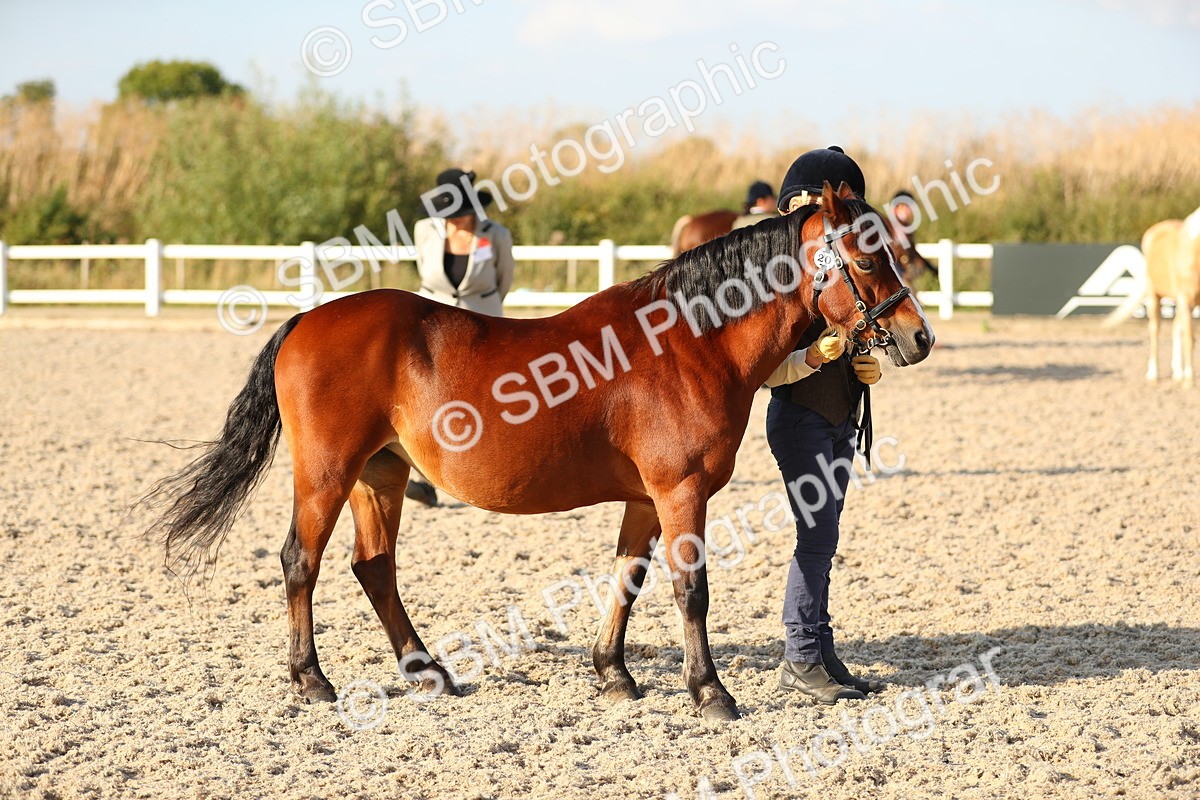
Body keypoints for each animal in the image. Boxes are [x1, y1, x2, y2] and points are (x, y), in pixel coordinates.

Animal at [141, 182, 935, 723]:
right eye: (869, 256)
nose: (919, 336)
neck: (689, 341)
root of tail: (308, 318)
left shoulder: (645, 497)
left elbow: (627, 579)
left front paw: (613, 674)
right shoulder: (680, 492)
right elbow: (691, 590)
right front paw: (710, 692)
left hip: (381, 474)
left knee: (374, 568)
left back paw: (427, 670)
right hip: (327, 474)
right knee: (299, 562)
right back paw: (312, 680)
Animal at [1106, 208, 1200, 387]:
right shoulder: (1184, 299)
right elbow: (1190, 340)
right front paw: (1189, 381)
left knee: (1176, 327)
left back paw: (1178, 372)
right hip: (1155, 296)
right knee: (1155, 331)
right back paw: (1154, 375)